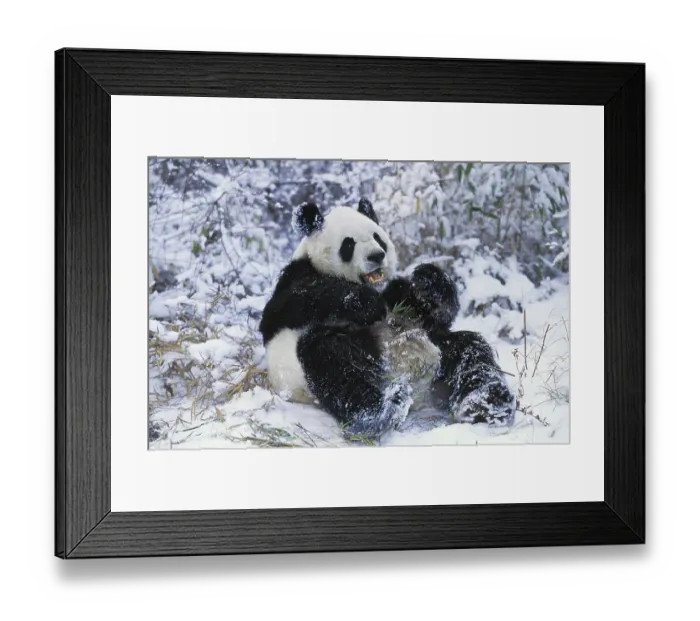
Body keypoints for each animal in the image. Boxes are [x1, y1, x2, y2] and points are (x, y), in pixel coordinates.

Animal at [259, 199, 516, 440]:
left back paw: (486, 403)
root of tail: (419, 394)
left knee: (470, 349)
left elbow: (434, 313)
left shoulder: (397, 296)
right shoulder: (293, 281)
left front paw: (428, 281)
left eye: (378, 238)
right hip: (309, 372)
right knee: (332, 361)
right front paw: (365, 303)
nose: (377, 256)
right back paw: (380, 414)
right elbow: (300, 299)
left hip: (443, 357)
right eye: (349, 244)